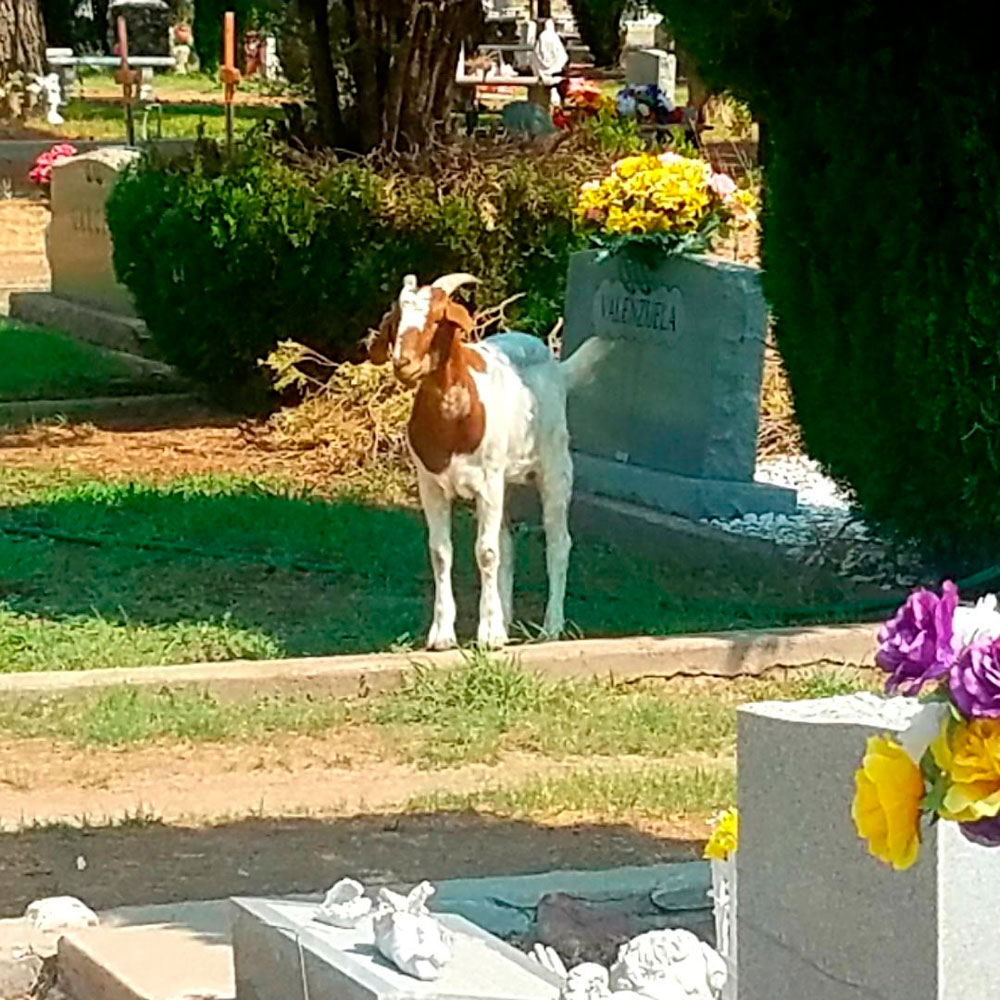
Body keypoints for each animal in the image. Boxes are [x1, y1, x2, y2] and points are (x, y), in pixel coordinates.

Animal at [372, 272, 604, 648]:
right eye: (397, 318)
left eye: (436, 319)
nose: (402, 363)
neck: (454, 416)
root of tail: (554, 364)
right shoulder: (430, 485)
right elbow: (441, 552)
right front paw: (444, 634)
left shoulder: (487, 483)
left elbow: (486, 552)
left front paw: (487, 635)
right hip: (506, 482)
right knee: (507, 544)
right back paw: (504, 623)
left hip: (554, 466)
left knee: (558, 541)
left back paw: (550, 627)